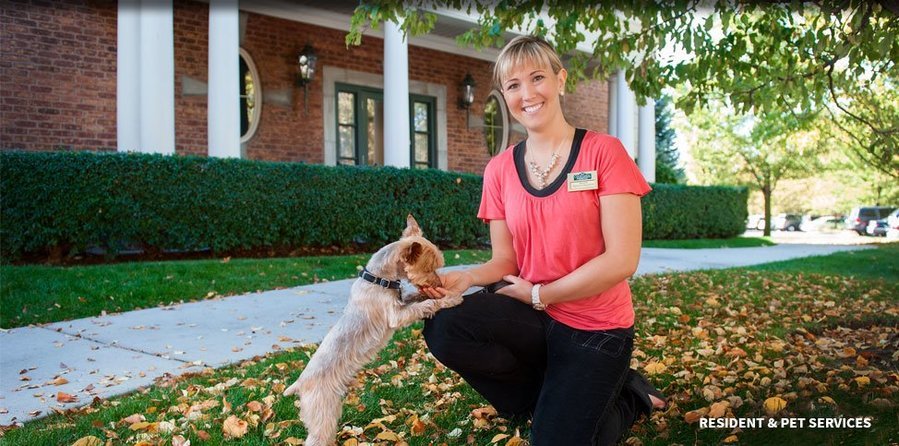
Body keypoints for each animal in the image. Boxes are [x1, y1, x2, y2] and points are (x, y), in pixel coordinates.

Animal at [284, 214, 464, 444]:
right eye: (429, 268)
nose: (439, 283)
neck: (380, 279)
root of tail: (300, 383)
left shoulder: (403, 300)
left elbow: (417, 297)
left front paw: (435, 293)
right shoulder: (396, 315)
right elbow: (424, 306)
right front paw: (451, 298)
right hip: (323, 413)